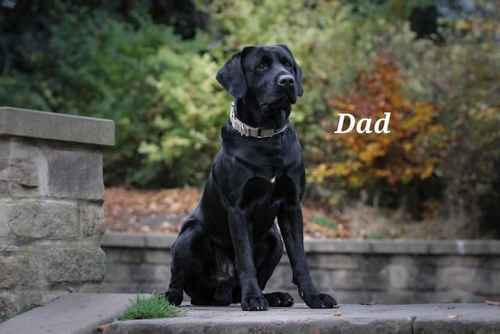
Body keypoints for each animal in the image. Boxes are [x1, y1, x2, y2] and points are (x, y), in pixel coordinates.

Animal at [165, 44, 336, 310]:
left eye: (287, 64)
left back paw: (274, 296)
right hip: (189, 235)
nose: (287, 80)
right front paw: (253, 299)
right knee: (180, 279)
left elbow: (300, 259)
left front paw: (313, 296)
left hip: (274, 240)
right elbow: (245, 260)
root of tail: (221, 291)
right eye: (261, 66)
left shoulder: (291, 205)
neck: (266, 137)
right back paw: (171, 296)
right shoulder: (239, 208)